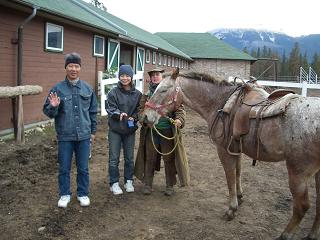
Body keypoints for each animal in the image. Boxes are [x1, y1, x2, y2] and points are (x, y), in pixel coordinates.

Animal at [141, 68, 320, 240]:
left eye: (164, 90)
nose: (146, 117)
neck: (220, 102)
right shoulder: (236, 148)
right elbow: (238, 173)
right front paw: (239, 197)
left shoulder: (223, 151)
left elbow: (230, 177)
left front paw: (231, 210)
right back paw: (312, 234)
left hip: (298, 172)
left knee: (302, 206)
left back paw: (285, 235)